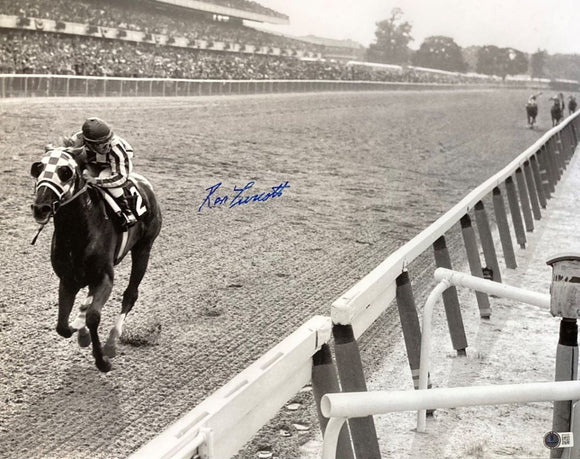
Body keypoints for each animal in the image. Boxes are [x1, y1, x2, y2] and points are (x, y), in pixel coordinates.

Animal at [30, 148, 162, 374]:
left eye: (65, 172)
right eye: (38, 168)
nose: (41, 207)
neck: (77, 232)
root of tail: (145, 184)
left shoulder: (105, 278)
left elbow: (94, 317)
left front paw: (102, 361)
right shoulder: (68, 281)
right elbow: (62, 326)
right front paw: (79, 329)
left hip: (144, 249)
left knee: (130, 295)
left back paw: (111, 342)